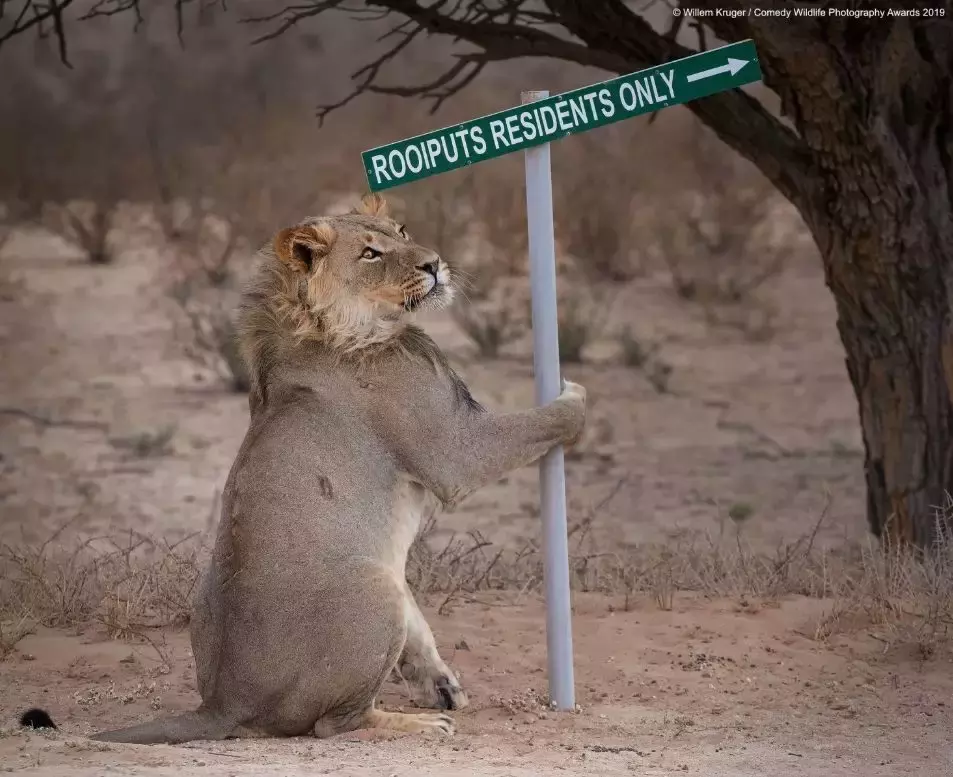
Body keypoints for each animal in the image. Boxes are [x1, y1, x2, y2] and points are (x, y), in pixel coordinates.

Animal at [26, 191, 584, 744]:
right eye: (370, 254)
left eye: (402, 231)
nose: (433, 264)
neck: (347, 325)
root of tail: (223, 704)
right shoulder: (455, 450)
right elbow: (544, 421)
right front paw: (576, 396)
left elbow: (421, 631)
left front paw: (441, 683)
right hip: (373, 588)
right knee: (335, 724)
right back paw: (416, 723)